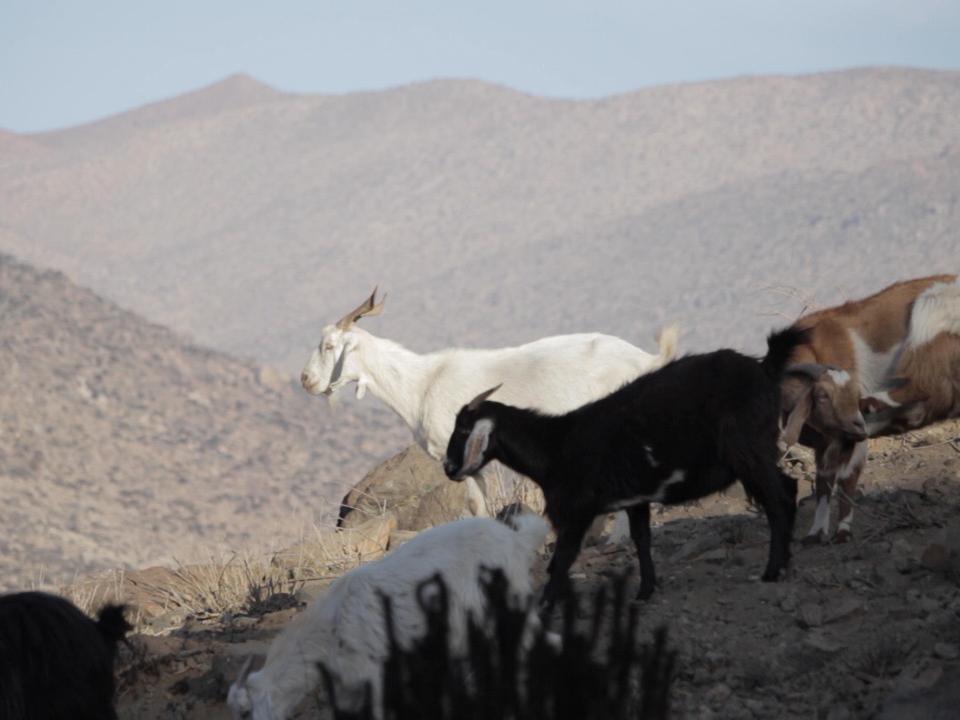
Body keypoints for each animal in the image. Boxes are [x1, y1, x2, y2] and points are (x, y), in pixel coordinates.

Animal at [300, 288, 676, 516]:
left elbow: (475, 505)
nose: (305, 380)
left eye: (329, 346)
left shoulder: (456, 454)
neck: (421, 383)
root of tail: (646, 358)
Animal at [442, 330, 808, 604]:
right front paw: (645, 590)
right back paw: (785, 563)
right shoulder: (635, 499)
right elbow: (641, 540)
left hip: (750, 452)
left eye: (463, 430)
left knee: (780, 498)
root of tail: (764, 369)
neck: (556, 444)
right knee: (786, 491)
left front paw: (546, 602)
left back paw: (773, 570)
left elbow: (560, 561)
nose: (448, 468)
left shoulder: (575, 512)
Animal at [784, 272, 956, 544]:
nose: (858, 423)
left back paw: (877, 403)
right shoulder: (828, 440)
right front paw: (815, 533)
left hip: (929, 312)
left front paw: (842, 533)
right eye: (822, 396)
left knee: (927, 383)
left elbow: (848, 476)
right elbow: (824, 480)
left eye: (852, 392)